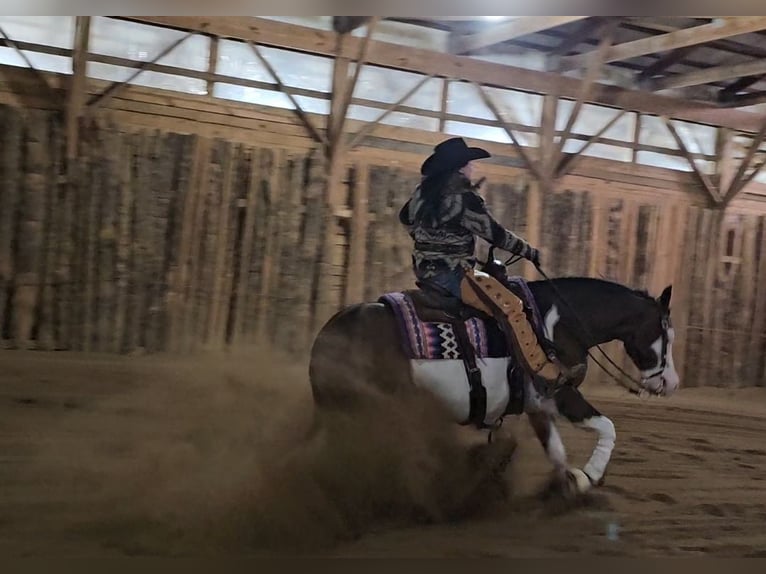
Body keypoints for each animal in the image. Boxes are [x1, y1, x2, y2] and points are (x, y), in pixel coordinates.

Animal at [308, 254, 680, 498]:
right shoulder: (562, 394)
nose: (671, 383)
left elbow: (556, 451)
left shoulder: (538, 405)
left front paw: (568, 484)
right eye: (667, 333)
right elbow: (607, 427)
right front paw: (589, 475)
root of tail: (327, 336)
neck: (560, 323)